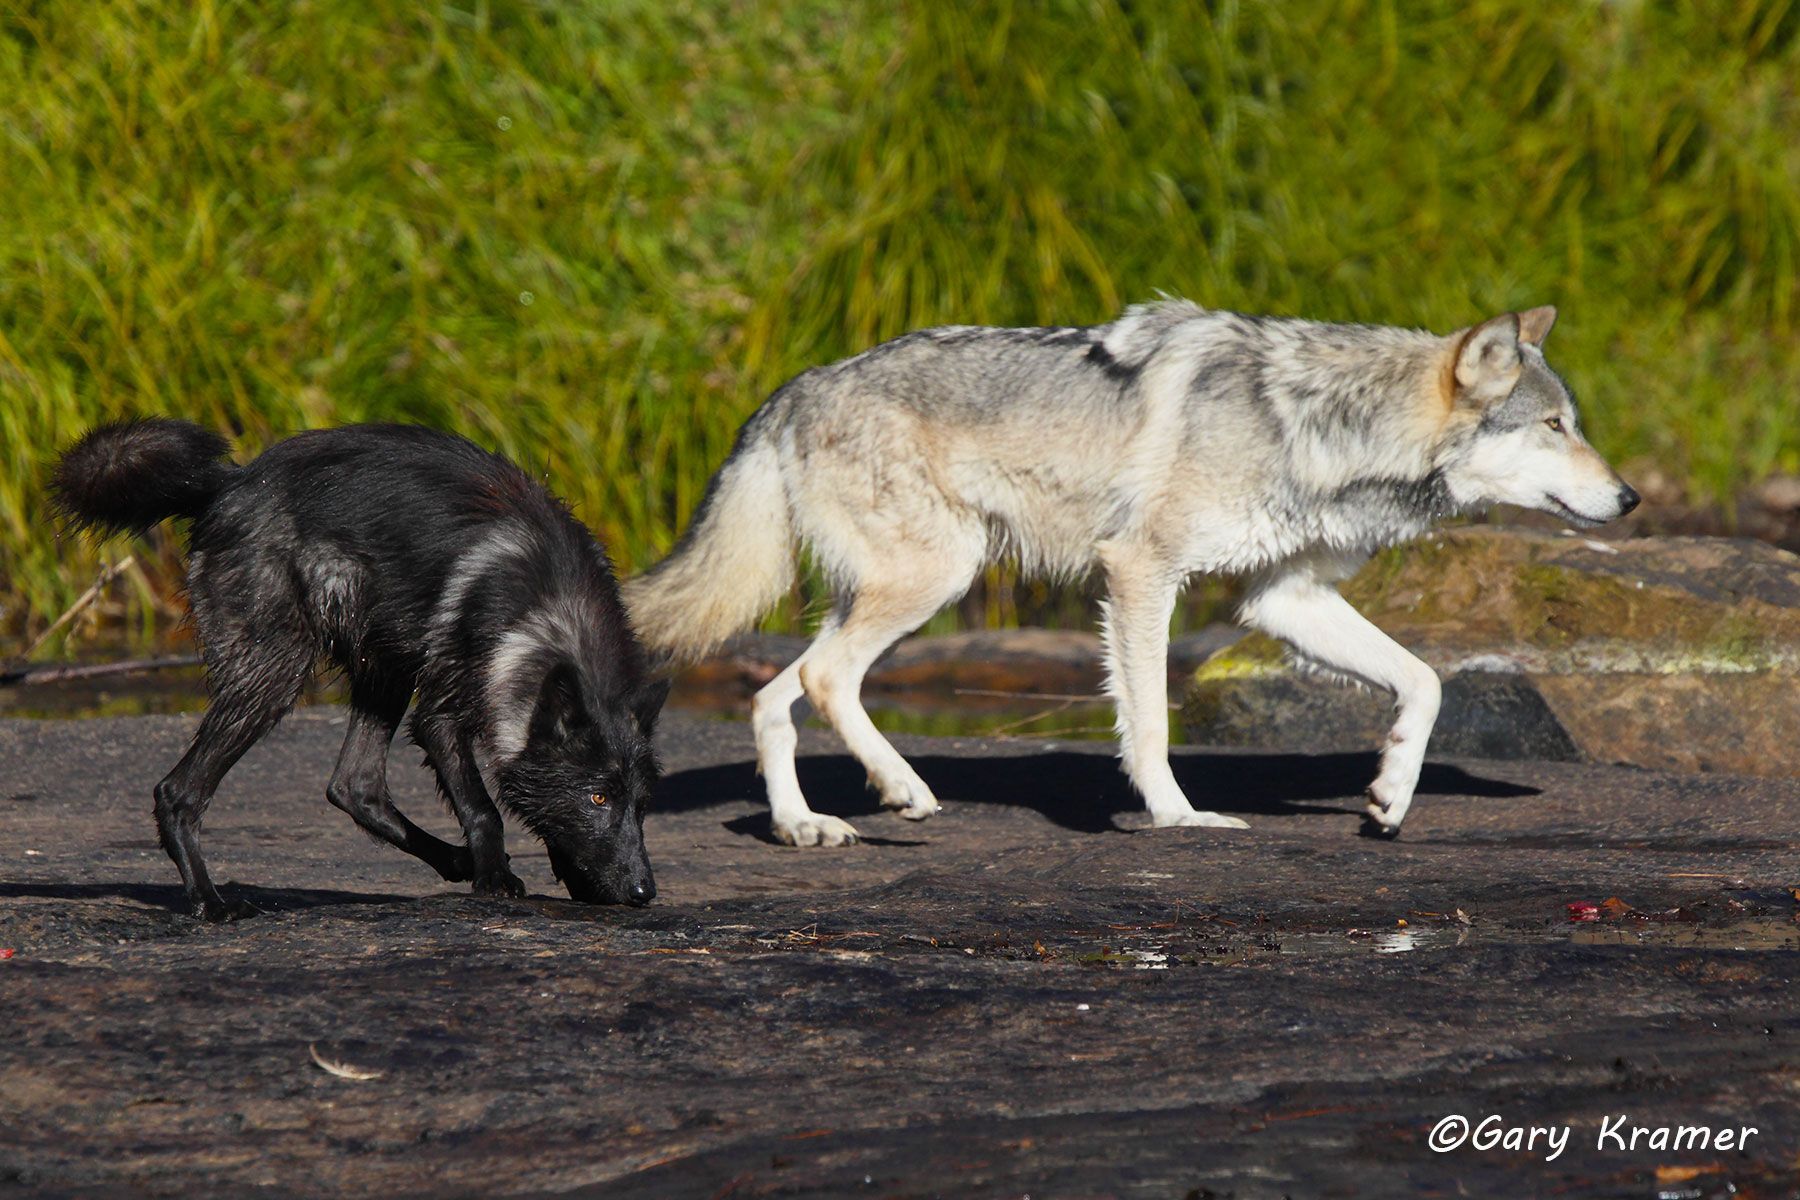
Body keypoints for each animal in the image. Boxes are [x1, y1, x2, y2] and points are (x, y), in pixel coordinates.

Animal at [52, 420, 667, 919]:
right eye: (598, 799)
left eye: (641, 805)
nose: (644, 893)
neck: (552, 610)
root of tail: (233, 482)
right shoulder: (439, 719)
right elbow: (483, 808)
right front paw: (495, 877)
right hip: (275, 679)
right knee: (178, 791)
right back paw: (210, 903)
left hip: (382, 671)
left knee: (355, 785)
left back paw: (453, 860)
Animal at [624, 301, 1637, 845]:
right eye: (1555, 427)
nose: (1628, 498)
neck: (1319, 424)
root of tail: (793, 388)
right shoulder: (1144, 572)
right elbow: (1148, 722)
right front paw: (1181, 818)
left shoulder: (1282, 599)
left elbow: (1424, 681)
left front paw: (1390, 794)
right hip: (935, 579)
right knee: (827, 682)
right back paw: (906, 792)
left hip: (895, 590)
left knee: (772, 695)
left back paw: (804, 827)